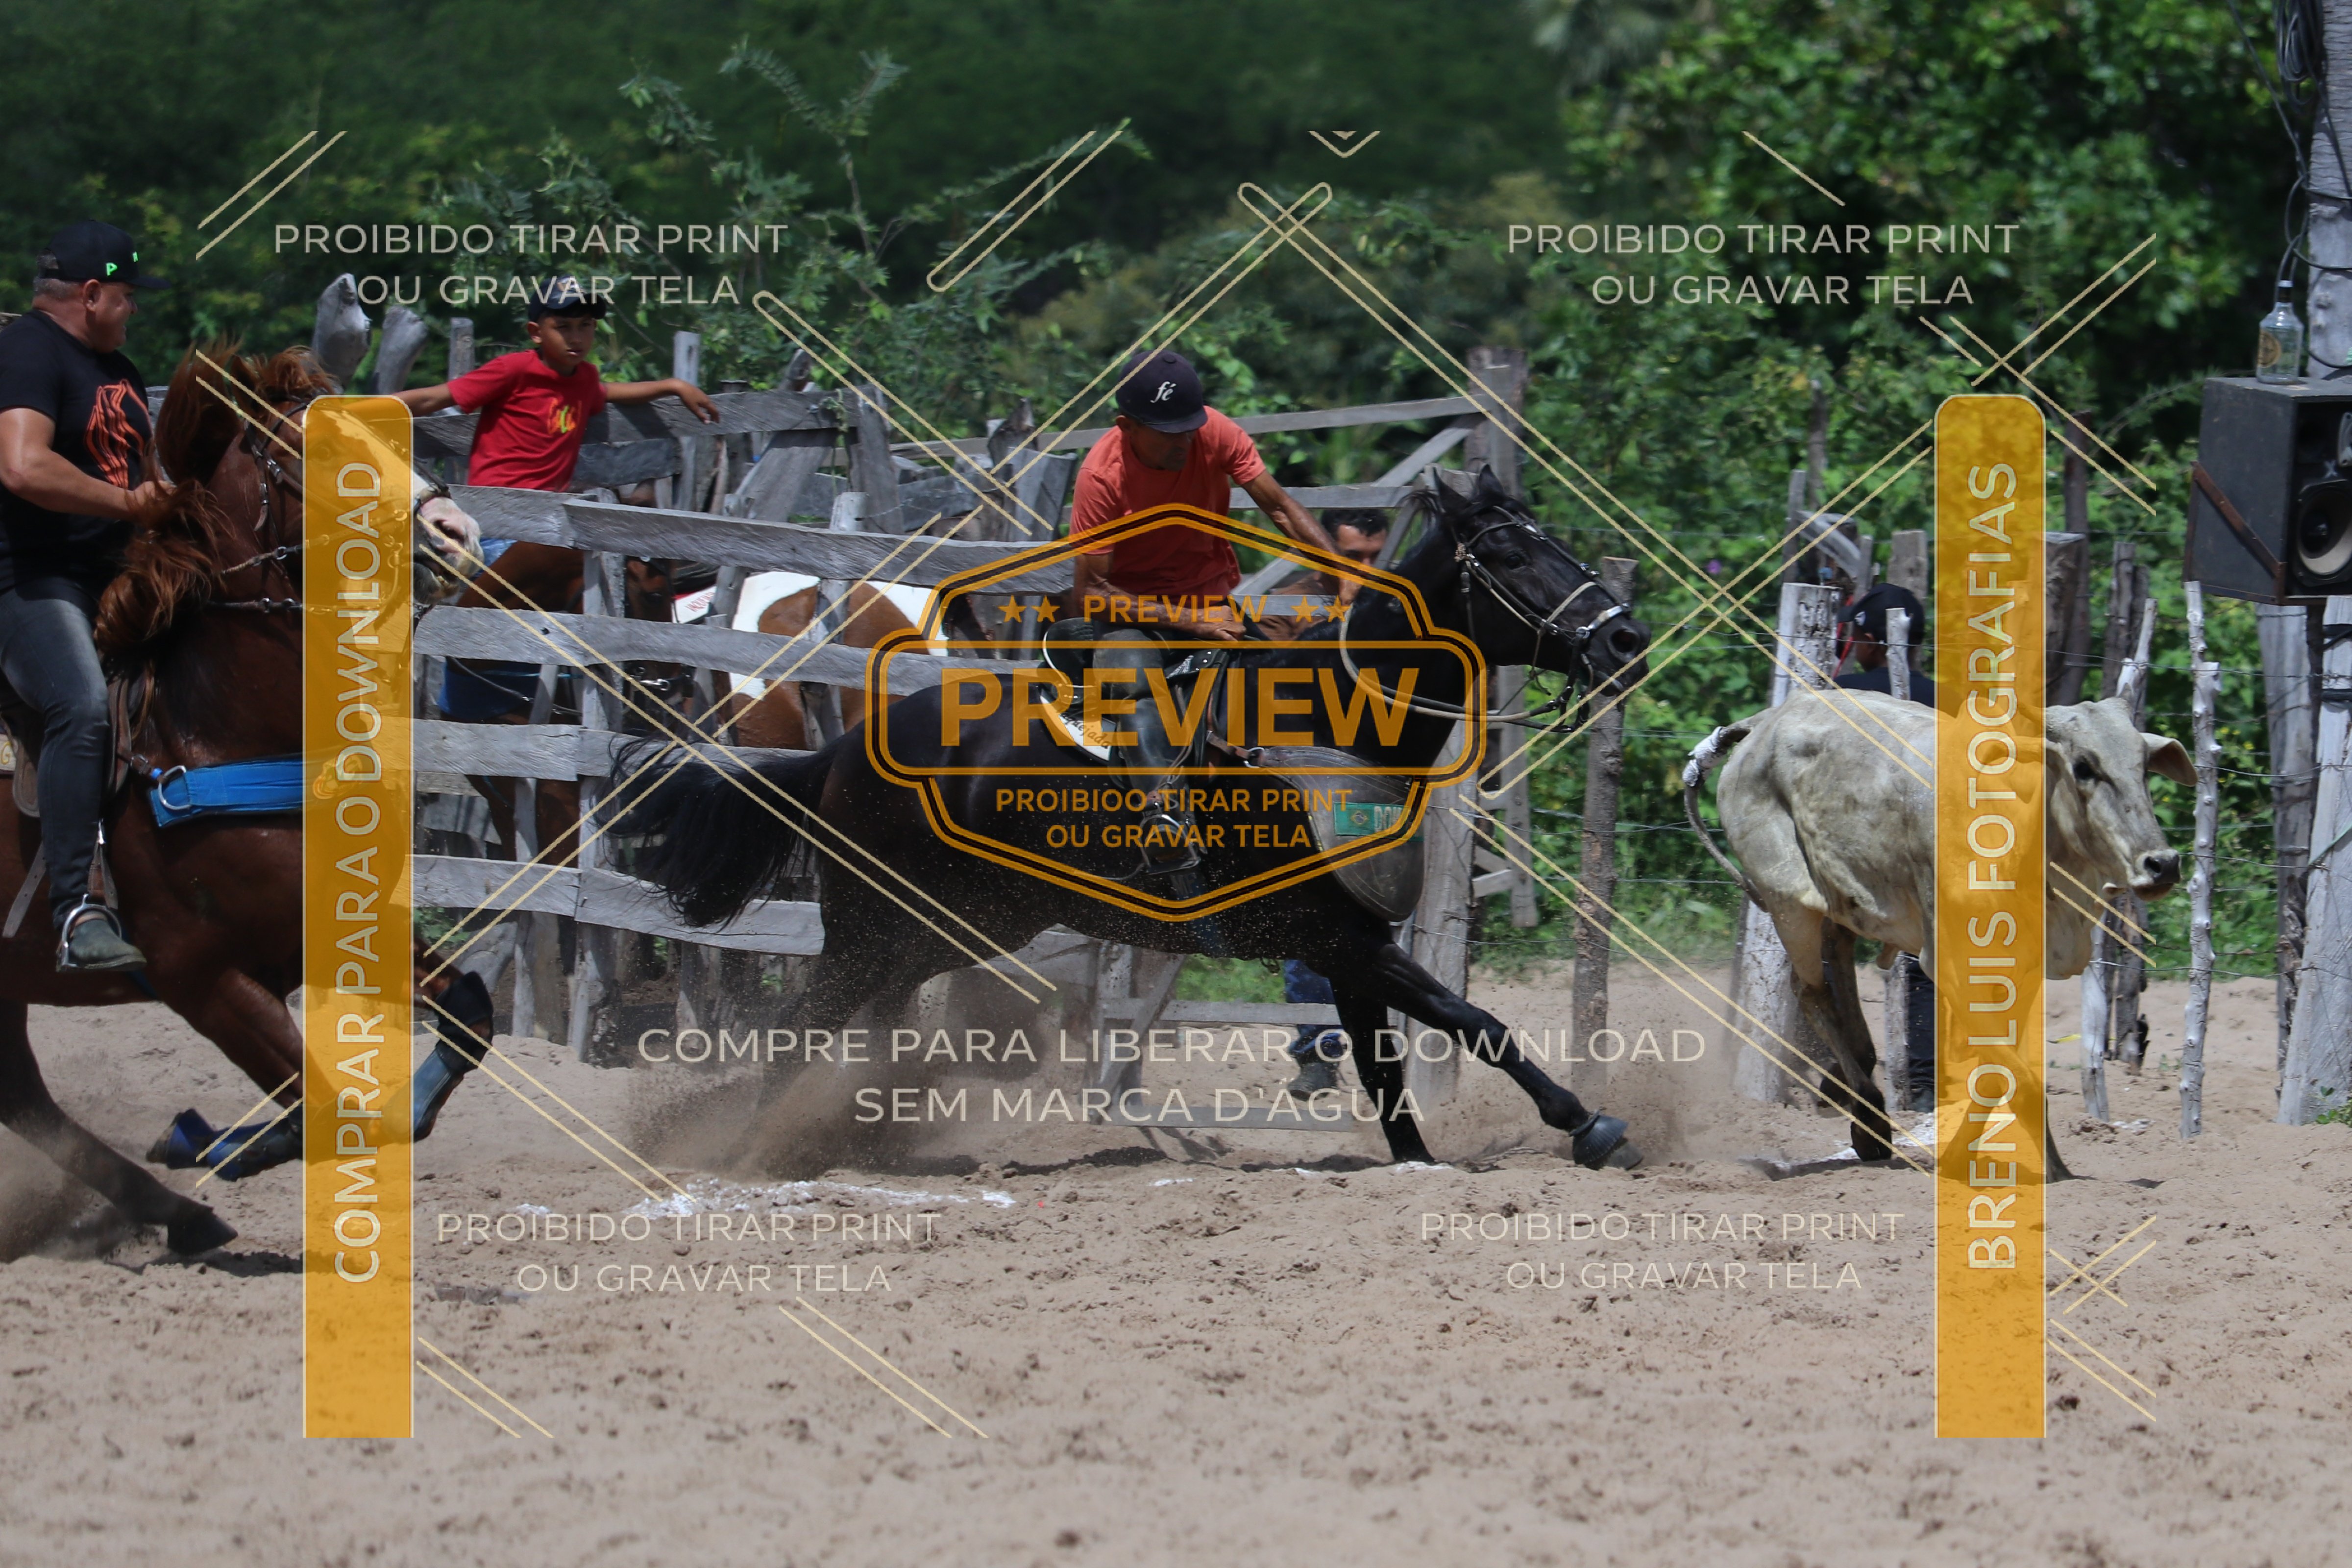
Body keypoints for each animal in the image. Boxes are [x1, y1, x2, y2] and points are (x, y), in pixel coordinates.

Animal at [0, 342, 476, 1254]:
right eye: (327, 451)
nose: (455, 533)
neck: (213, 734)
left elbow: (467, 1018)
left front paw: (210, 1142)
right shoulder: (200, 976)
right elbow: (321, 1106)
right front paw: (215, 1142)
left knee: (25, 1099)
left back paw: (181, 1213)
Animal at [623, 467, 1654, 1170]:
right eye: (1511, 555)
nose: (1625, 638)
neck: (1334, 728)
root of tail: (840, 752)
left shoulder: (1349, 950)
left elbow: (1389, 1075)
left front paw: (1423, 1160)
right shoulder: (1338, 940)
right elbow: (1473, 1019)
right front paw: (1591, 1123)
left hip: (950, 931)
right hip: (874, 929)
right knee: (800, 1030)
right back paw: (746, 1150)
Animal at [1683, 688, 2193, 1163]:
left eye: (2143, 765)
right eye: (2084, 767)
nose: (2162, 864)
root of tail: (1764, 722)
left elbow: (2000, 1071)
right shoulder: (1947, 962)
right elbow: (2011, 1070)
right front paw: (2049, 1166)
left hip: (1840, 900)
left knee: (1838, 969)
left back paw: (1850, 1087)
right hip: (1791, 903)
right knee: (1811, 993)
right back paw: (1869, 1117)